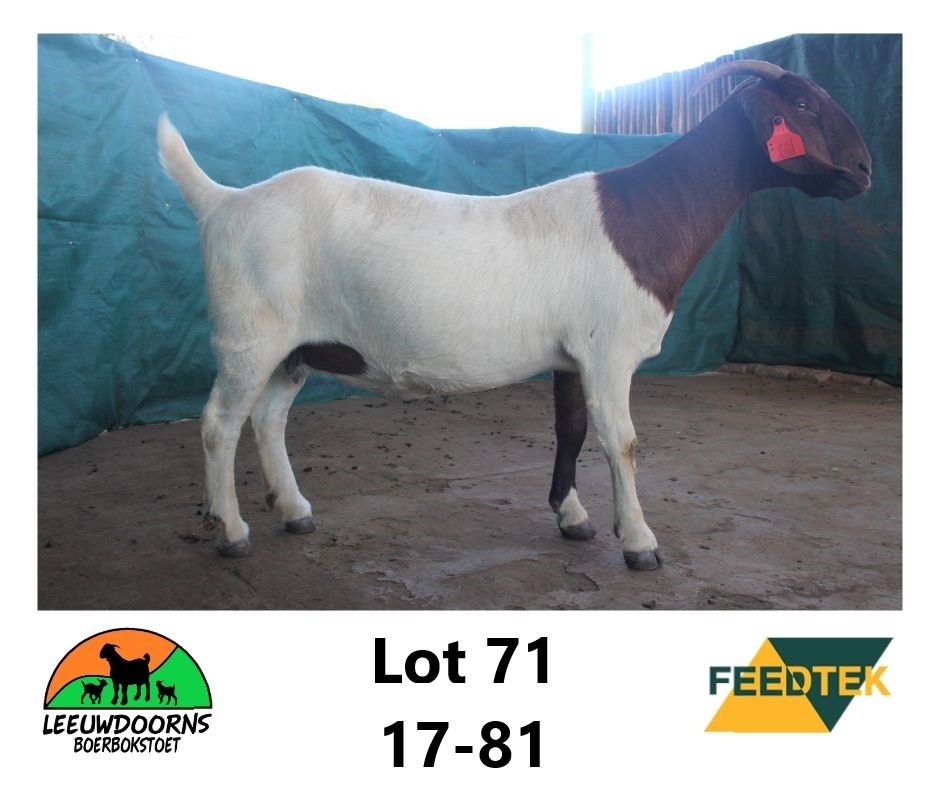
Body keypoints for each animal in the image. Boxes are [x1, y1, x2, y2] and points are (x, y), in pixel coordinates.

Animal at [157, 59, 871, 570]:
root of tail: (223, 202)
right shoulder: (608, 349)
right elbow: (622, 440)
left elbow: (572, 430)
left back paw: (294, 509)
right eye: (802, 104)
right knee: (220, 422)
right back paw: (231, 529)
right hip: (249, 334)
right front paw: (640, 541)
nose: (865, 169)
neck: (647, 214)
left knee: (269, 418)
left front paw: (573, 517)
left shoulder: (573, 353)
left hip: (295, 346)